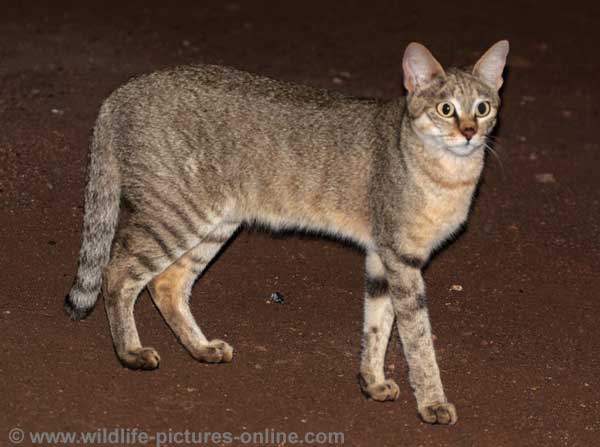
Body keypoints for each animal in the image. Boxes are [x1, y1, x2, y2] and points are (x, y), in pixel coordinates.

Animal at [64, 41, 506, 428]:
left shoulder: (382, 258)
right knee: (117, 272)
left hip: (213, 222)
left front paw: (373, 381)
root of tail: (120, 93)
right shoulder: (402, 258)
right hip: (177, 214)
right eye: (446, 109)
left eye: (483, 108)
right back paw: (130, 352)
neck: (449, 174)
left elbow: (377, 325)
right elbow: (418, 339)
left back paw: (201, 348)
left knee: (166, 284)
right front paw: (432, 402)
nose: (469, 131)